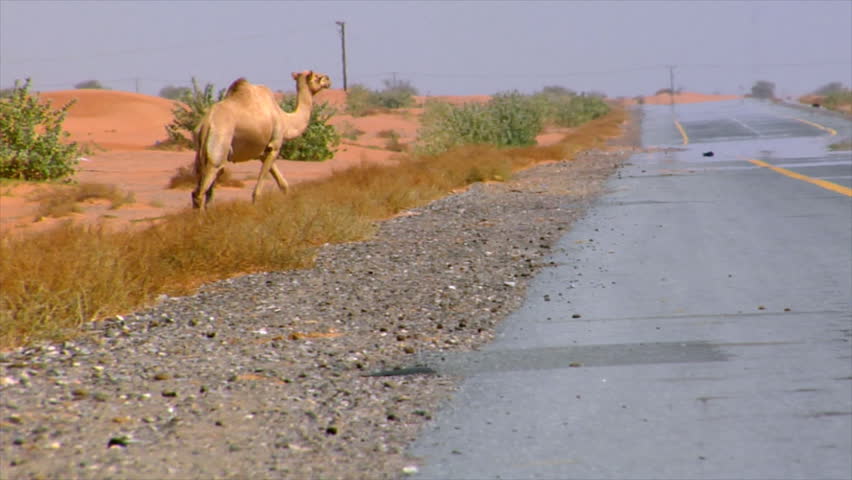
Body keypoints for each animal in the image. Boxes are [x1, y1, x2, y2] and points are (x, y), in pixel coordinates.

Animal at [191, 71, 331, 209]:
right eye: (317, 77)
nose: (328, 80)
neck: (285, 120)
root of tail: (206, 124)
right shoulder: (274, 146)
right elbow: (258, 191)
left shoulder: (262, 152)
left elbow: (284, 184)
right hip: (219, 146)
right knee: (202, 190)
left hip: (202, 155)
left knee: (202, 193)